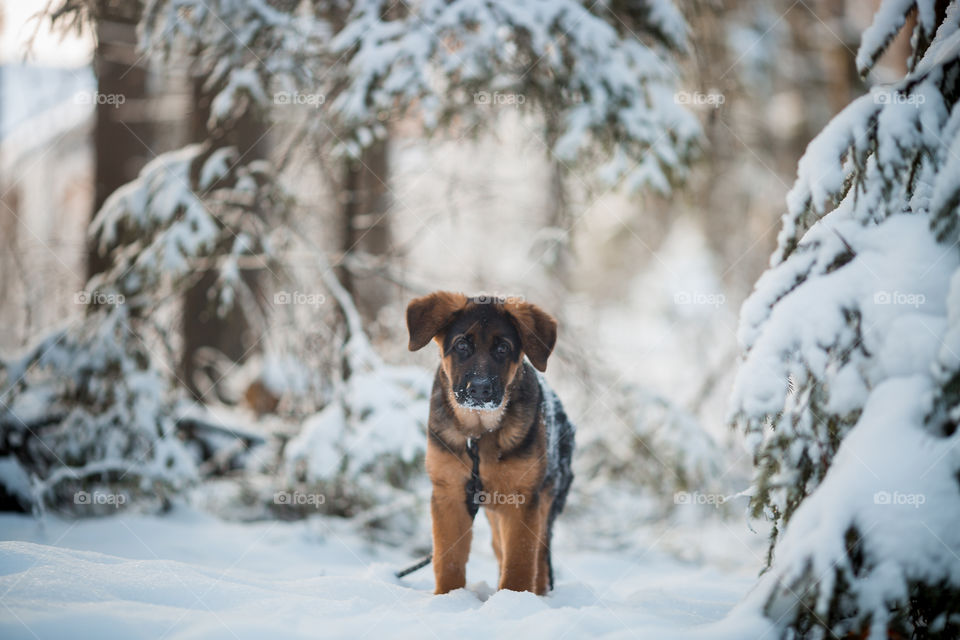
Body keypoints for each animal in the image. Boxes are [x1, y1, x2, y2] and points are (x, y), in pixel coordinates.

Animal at [406, 292, 572, 596]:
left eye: (503, 348)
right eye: (462, 345)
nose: (480, 389)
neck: (479, 433)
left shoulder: (522, 501)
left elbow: (520, 562)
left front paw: (514, 599)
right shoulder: (449, 494)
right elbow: (448, 558)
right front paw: (448, 598)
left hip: (544, 505)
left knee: (541, 562)